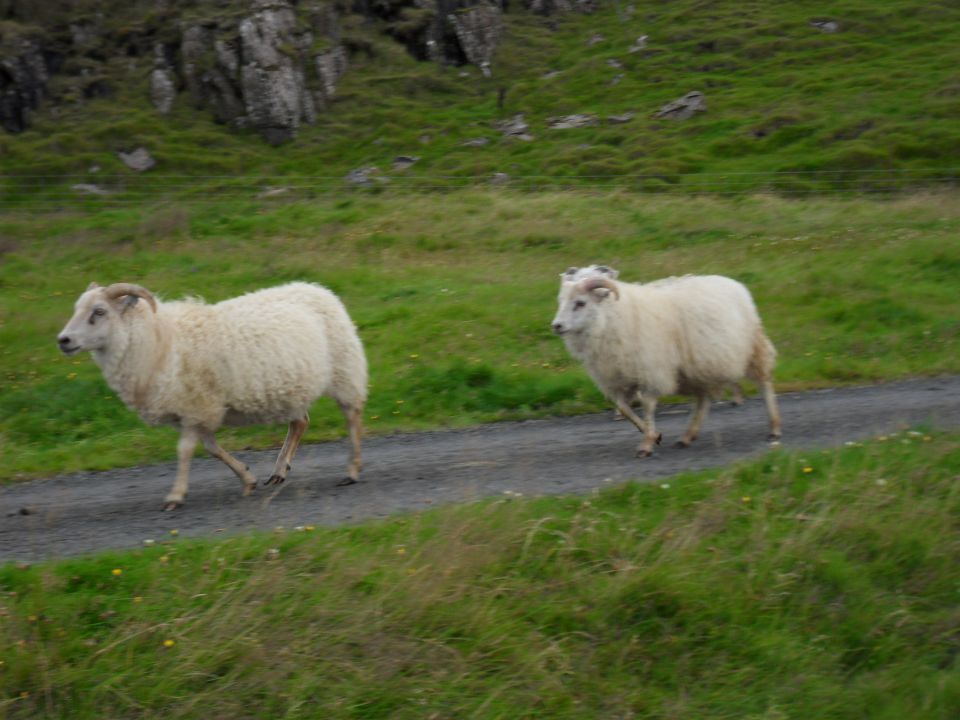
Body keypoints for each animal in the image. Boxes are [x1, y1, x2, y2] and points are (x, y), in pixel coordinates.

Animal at [58, 278, 368, 510]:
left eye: (99, 311)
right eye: (76, 308)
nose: (63, 340)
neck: (157, 341)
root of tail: (318, 289)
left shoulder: (195, 406)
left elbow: (185, 451)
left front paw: (175, 496)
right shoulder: (196, 411)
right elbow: (212, 449)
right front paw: (247, 479)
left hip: (344, 368)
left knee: (352, 416)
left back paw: (351, 471)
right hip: (293, 387)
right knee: (300, 422)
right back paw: (279, 470)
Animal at [552, 268, 784, 458]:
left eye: (580, 303)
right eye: (561, 302)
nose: (557, 326)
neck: (610, 318)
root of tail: (733, 283)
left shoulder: (651, 371)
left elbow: (647, 406)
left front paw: (646, 444)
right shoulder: (618, 377)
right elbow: (624, 409)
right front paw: (654, 435)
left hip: (753, 347)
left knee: (764, 383)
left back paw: (774, 428)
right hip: (698, 368)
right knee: (703, 400)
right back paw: (687, 436)